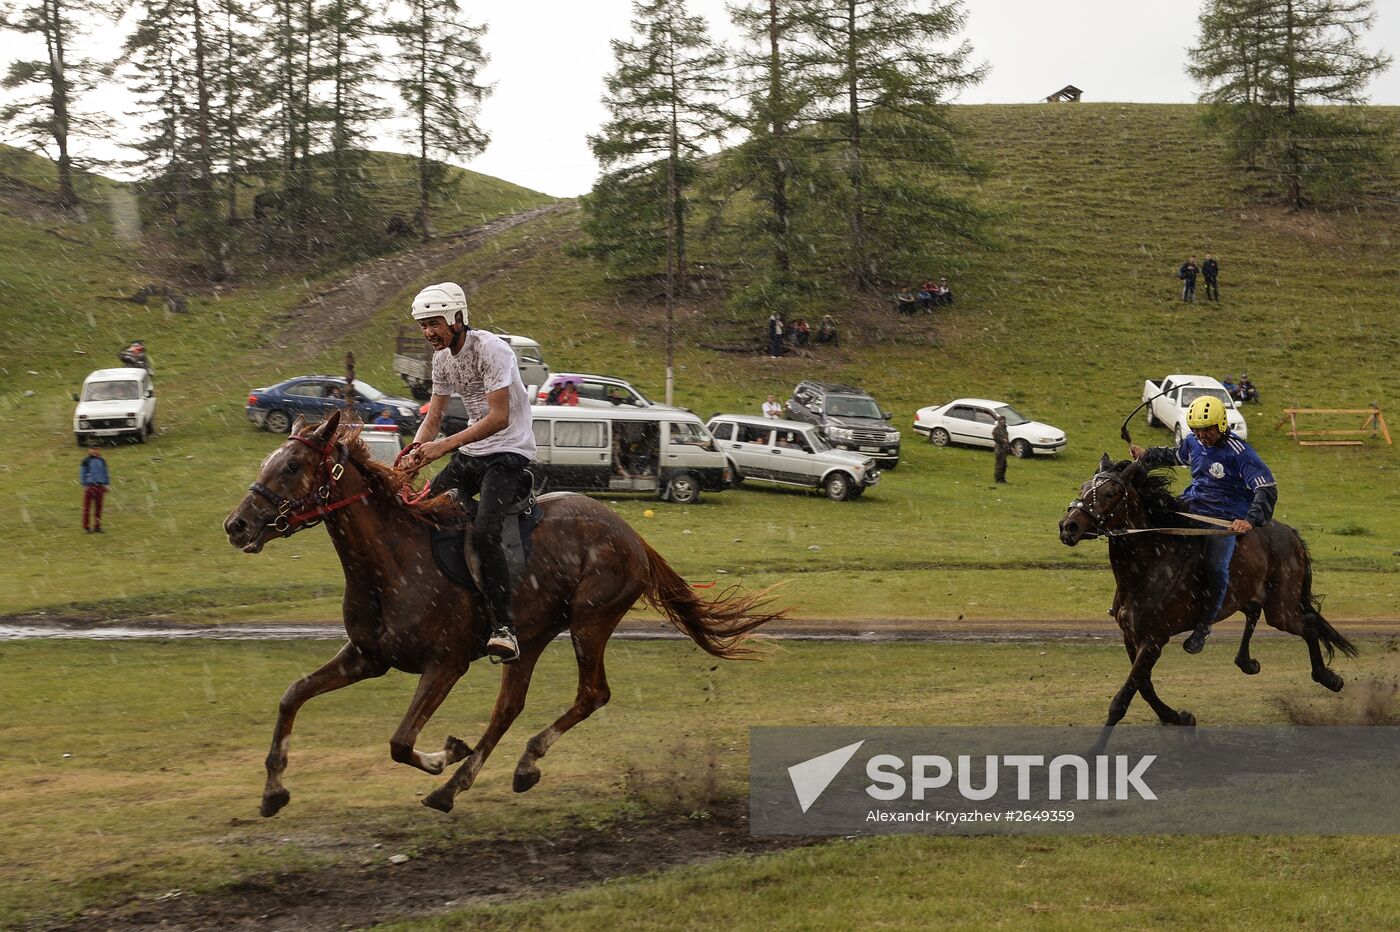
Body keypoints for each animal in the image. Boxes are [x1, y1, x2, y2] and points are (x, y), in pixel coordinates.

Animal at [224, 411, 784, 811]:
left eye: (292, 467)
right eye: (269, 461)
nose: (236, 525)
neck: (391, 560)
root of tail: (632, 536)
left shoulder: (445, 663)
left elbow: (401, 742)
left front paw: (444, 754)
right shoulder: (368, 657)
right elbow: (292, 696)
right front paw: (273, 790)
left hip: (590, 622)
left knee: (591, 693)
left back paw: (505, 769)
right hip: (530, 637)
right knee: (508, 707)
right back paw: (465, 783)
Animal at [1058, 453, 1355, 738]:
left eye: (1109, 493)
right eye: (1083, 487)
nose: (1068, 526)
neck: (1151, 564)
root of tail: (1289, 533)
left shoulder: (1154, 640)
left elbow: (1123, 700)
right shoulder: (1131, 637)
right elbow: (1144, 687)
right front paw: (1179, 717)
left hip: (1281, 609)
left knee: (1309, 625)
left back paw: (1328, 678)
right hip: (1251, 597)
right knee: (1257, 613)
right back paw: (1247, 662)